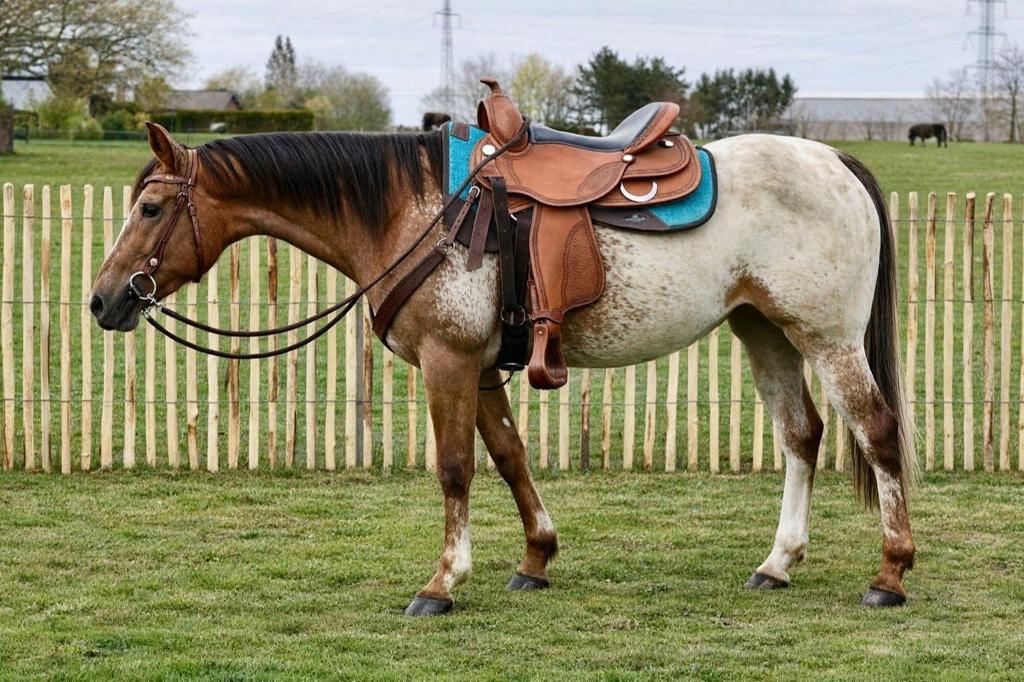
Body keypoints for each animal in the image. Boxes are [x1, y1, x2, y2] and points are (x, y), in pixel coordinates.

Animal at [90, 122, 916, 616]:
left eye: (152, 210)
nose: (104, 299)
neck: (415, 210)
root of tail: (834, 158)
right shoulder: (482, 367)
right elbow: (510, 456)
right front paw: (535, 559)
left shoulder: (447, 361)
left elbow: (456, 467)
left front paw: (442, 581)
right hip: (764, 331)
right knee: (801, 436)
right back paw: (778, 563)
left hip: (827, 338)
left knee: (878, 433)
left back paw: (890, 573)